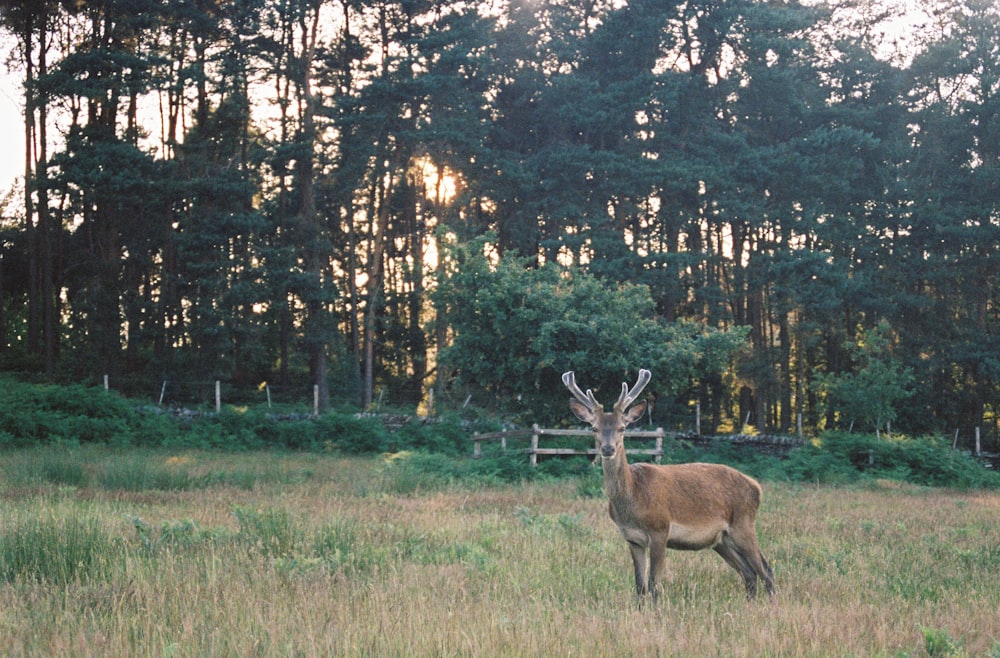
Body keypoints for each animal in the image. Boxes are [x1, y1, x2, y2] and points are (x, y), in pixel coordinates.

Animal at [564, 366, 772, 604]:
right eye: (594, 428)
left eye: (622, 427)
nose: (608, 449)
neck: (633, 500)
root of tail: (756, 487)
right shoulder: (632, 539)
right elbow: (639, 586)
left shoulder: (660, 529)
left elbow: (654, 584)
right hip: (722, 540)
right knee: (749, 573)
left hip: (743, 524)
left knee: (766, 570)